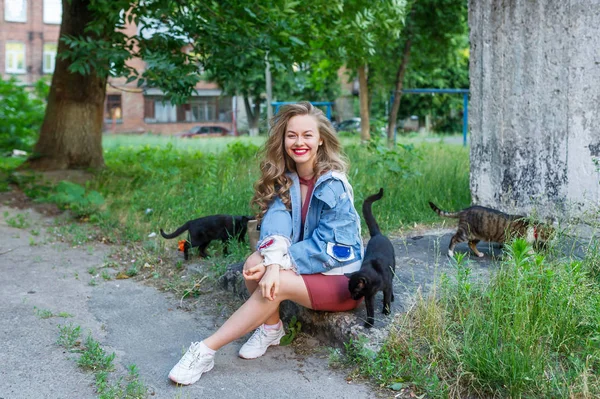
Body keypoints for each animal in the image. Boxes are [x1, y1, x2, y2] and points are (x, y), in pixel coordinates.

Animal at [350, 189, 396, 330]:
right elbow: (370, 310)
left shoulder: (386, 286)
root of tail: (377, 235)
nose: (352, 297)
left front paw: (386, 311)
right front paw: (369, 322)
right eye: (349, 291)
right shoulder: (368, 296)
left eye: (355, 292)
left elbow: (386, 298)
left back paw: (392, 297)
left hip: (393, 269)